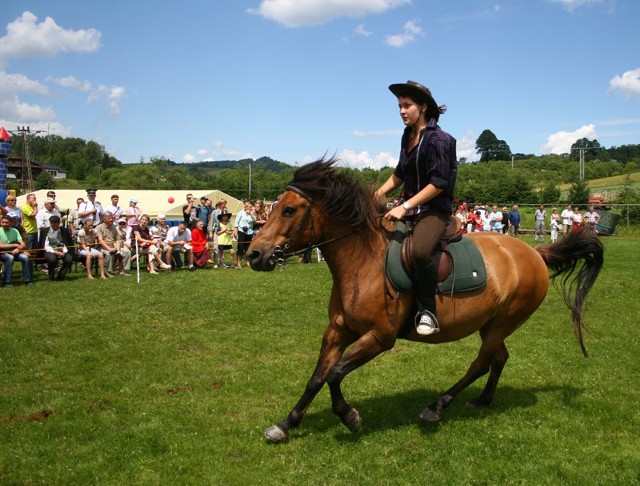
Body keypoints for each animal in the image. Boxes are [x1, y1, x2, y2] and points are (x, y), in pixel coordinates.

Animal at [246, 158, 604, 442]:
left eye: (289, 209)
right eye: (272, 207)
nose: (253, 254)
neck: (363, 261)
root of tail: (534, 254)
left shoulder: (379, 337)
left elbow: (335, 374)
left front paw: (350, 417)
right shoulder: (337, 330)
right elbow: (317, 377)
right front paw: (286, 424)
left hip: (504, 321)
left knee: (481, 363)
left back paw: (437, 406)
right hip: (491, 324)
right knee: (499, 358)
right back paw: (483, 400)